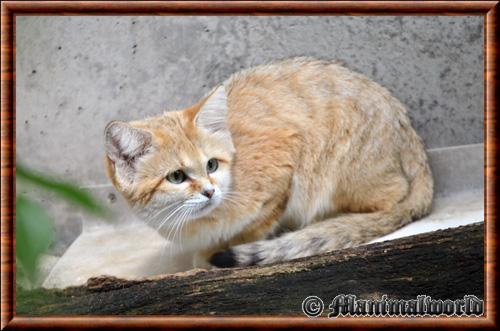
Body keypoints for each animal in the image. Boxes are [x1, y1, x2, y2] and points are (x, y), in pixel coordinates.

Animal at [103, 57, 432, 270]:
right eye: (176, 177)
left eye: (211, 165)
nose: (209, 191)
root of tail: (410, 134)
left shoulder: (284, 171)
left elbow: (255, 228)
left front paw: (213, 254)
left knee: (392, 197)